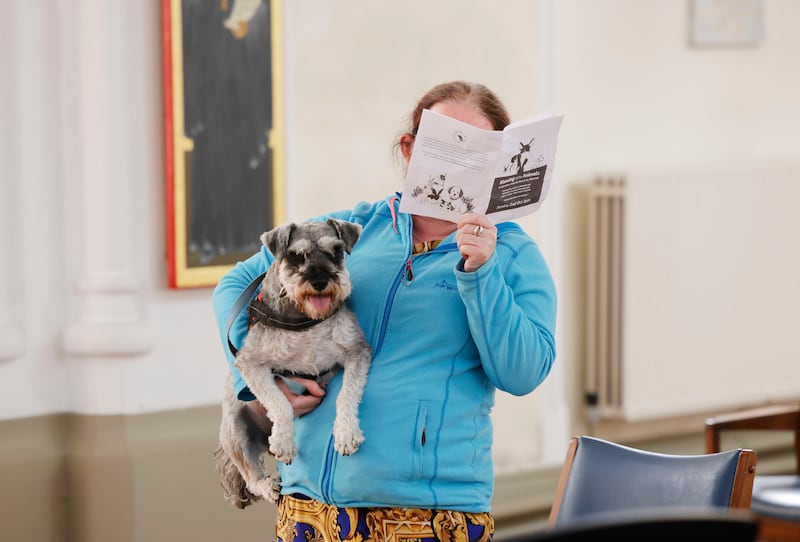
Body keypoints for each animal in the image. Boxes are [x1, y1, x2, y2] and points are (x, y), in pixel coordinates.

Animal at [214, 218, 374, 510]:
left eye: (336, 251)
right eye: (296, 256)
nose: (320, 281)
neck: (306, 319)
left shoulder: (356, 353)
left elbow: (346, 395)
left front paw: (346, 433)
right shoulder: (251, 364)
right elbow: (280, 403)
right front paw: (283, 441)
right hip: (234, 431)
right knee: (250, 475)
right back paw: (267, 485)